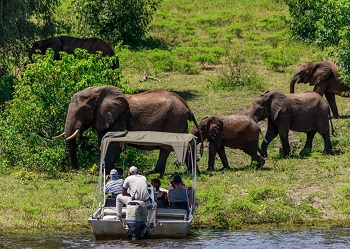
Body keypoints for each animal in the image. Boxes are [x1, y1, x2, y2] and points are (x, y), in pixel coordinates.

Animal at [55, 85, 202, 175]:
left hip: (174, 119)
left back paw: (156, 173)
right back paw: (193, 173)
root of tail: (187, 107)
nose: (75, 169)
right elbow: (104, 142)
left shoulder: (120, 118)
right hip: (179, 120)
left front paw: (106, 171)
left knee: (168, 147)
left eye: (82, 111)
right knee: (186, 144)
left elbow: (113, 144)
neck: (98, 91)